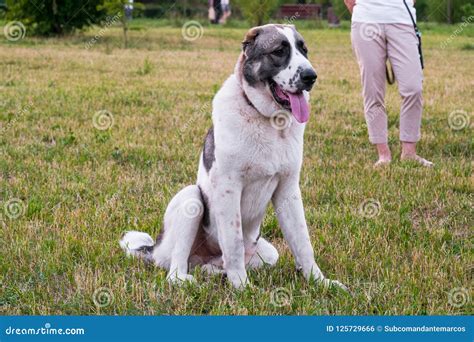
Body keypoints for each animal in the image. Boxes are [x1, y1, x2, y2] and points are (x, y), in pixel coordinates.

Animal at [120, 23, 346, 292]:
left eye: (304, 50)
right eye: (279, 51)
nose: (311, 76)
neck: (268, 121)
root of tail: (154, 248)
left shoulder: (288, 189)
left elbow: (303, 241)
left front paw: (320, 281)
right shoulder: (229, 188)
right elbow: (234, 241)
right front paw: (242, 287)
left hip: (267, 253)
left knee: (220, 263)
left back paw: (215, 272)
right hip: (190, 198)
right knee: (177, 265)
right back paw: (189, 278)